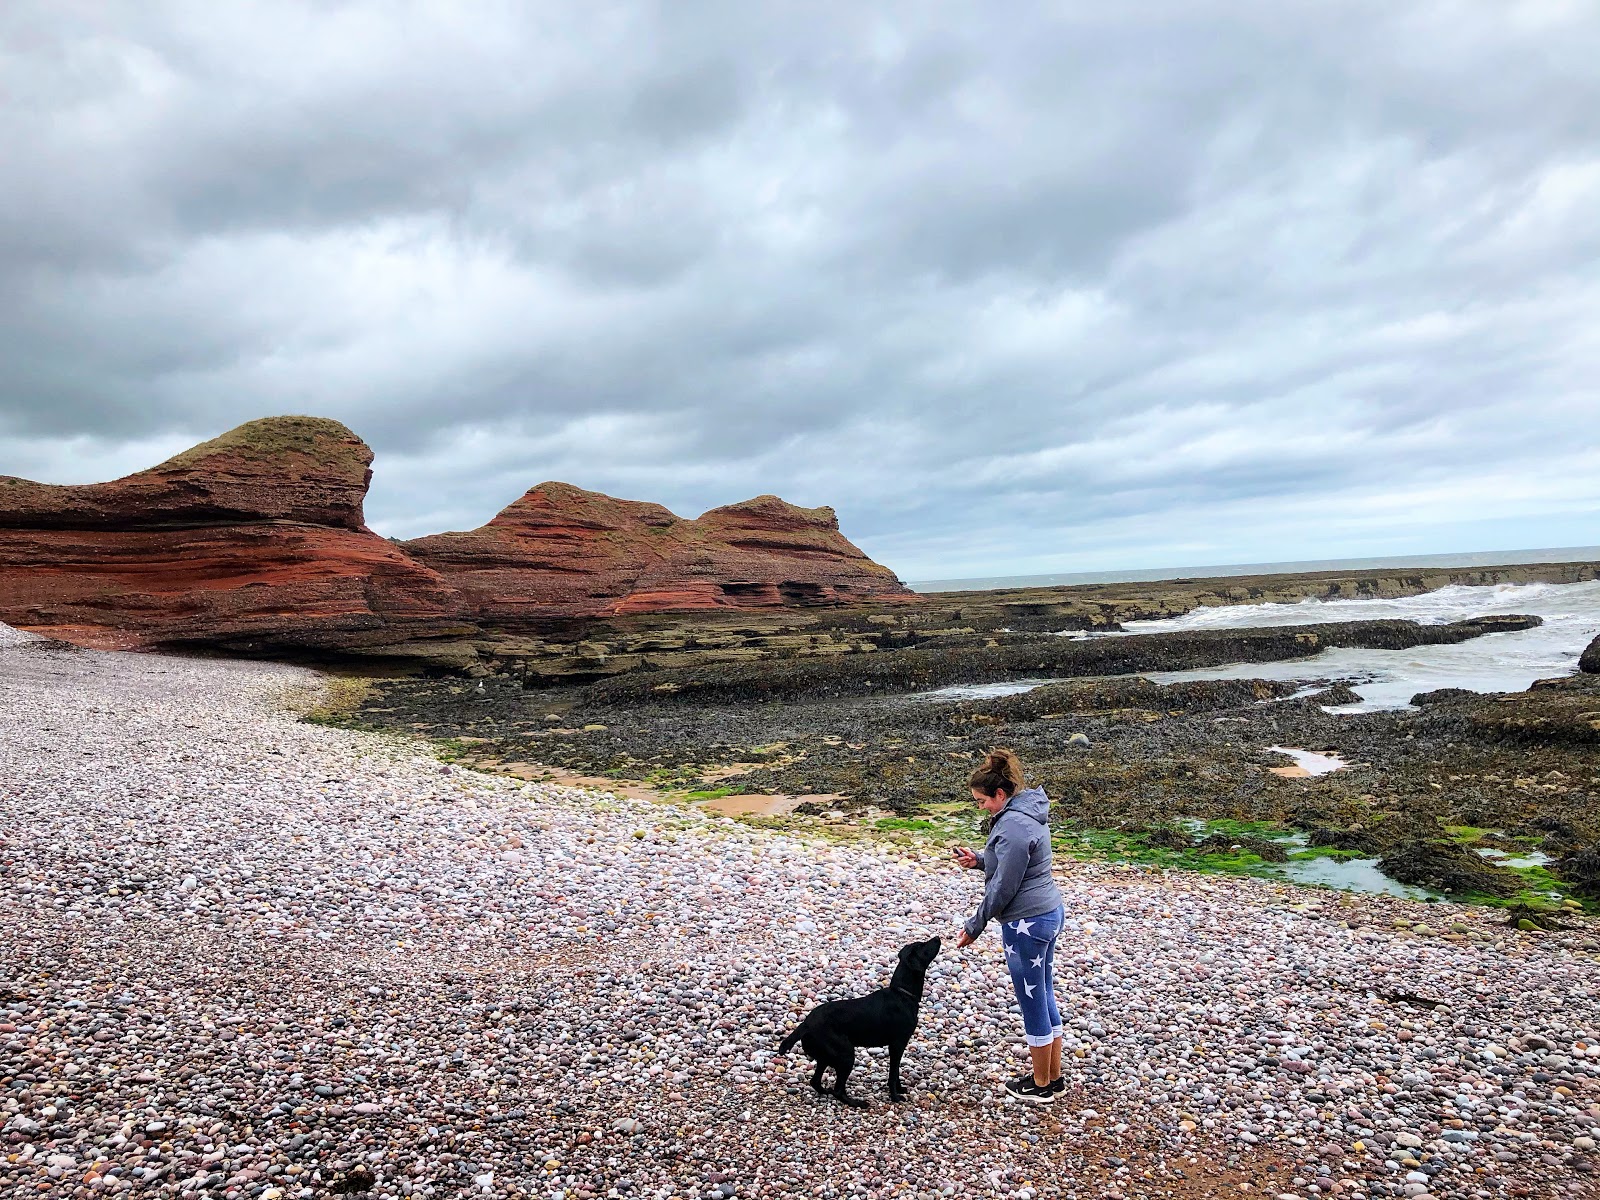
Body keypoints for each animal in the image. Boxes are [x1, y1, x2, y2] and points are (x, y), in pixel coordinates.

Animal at [774, 940, 934, 1107]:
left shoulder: (896, 1046)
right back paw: (857, 1103)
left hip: (826, 1057)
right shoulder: (897, 1045)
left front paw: (900, 1089)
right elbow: (893, 1074)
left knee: (816, 1082)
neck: (902, 994)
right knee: (838, 1090)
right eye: (922, 946)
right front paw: (895, 1096)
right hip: (846, 1055)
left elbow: (896, 1073)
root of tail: (806, 1023)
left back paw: (827, 1092)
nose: (937, 938)